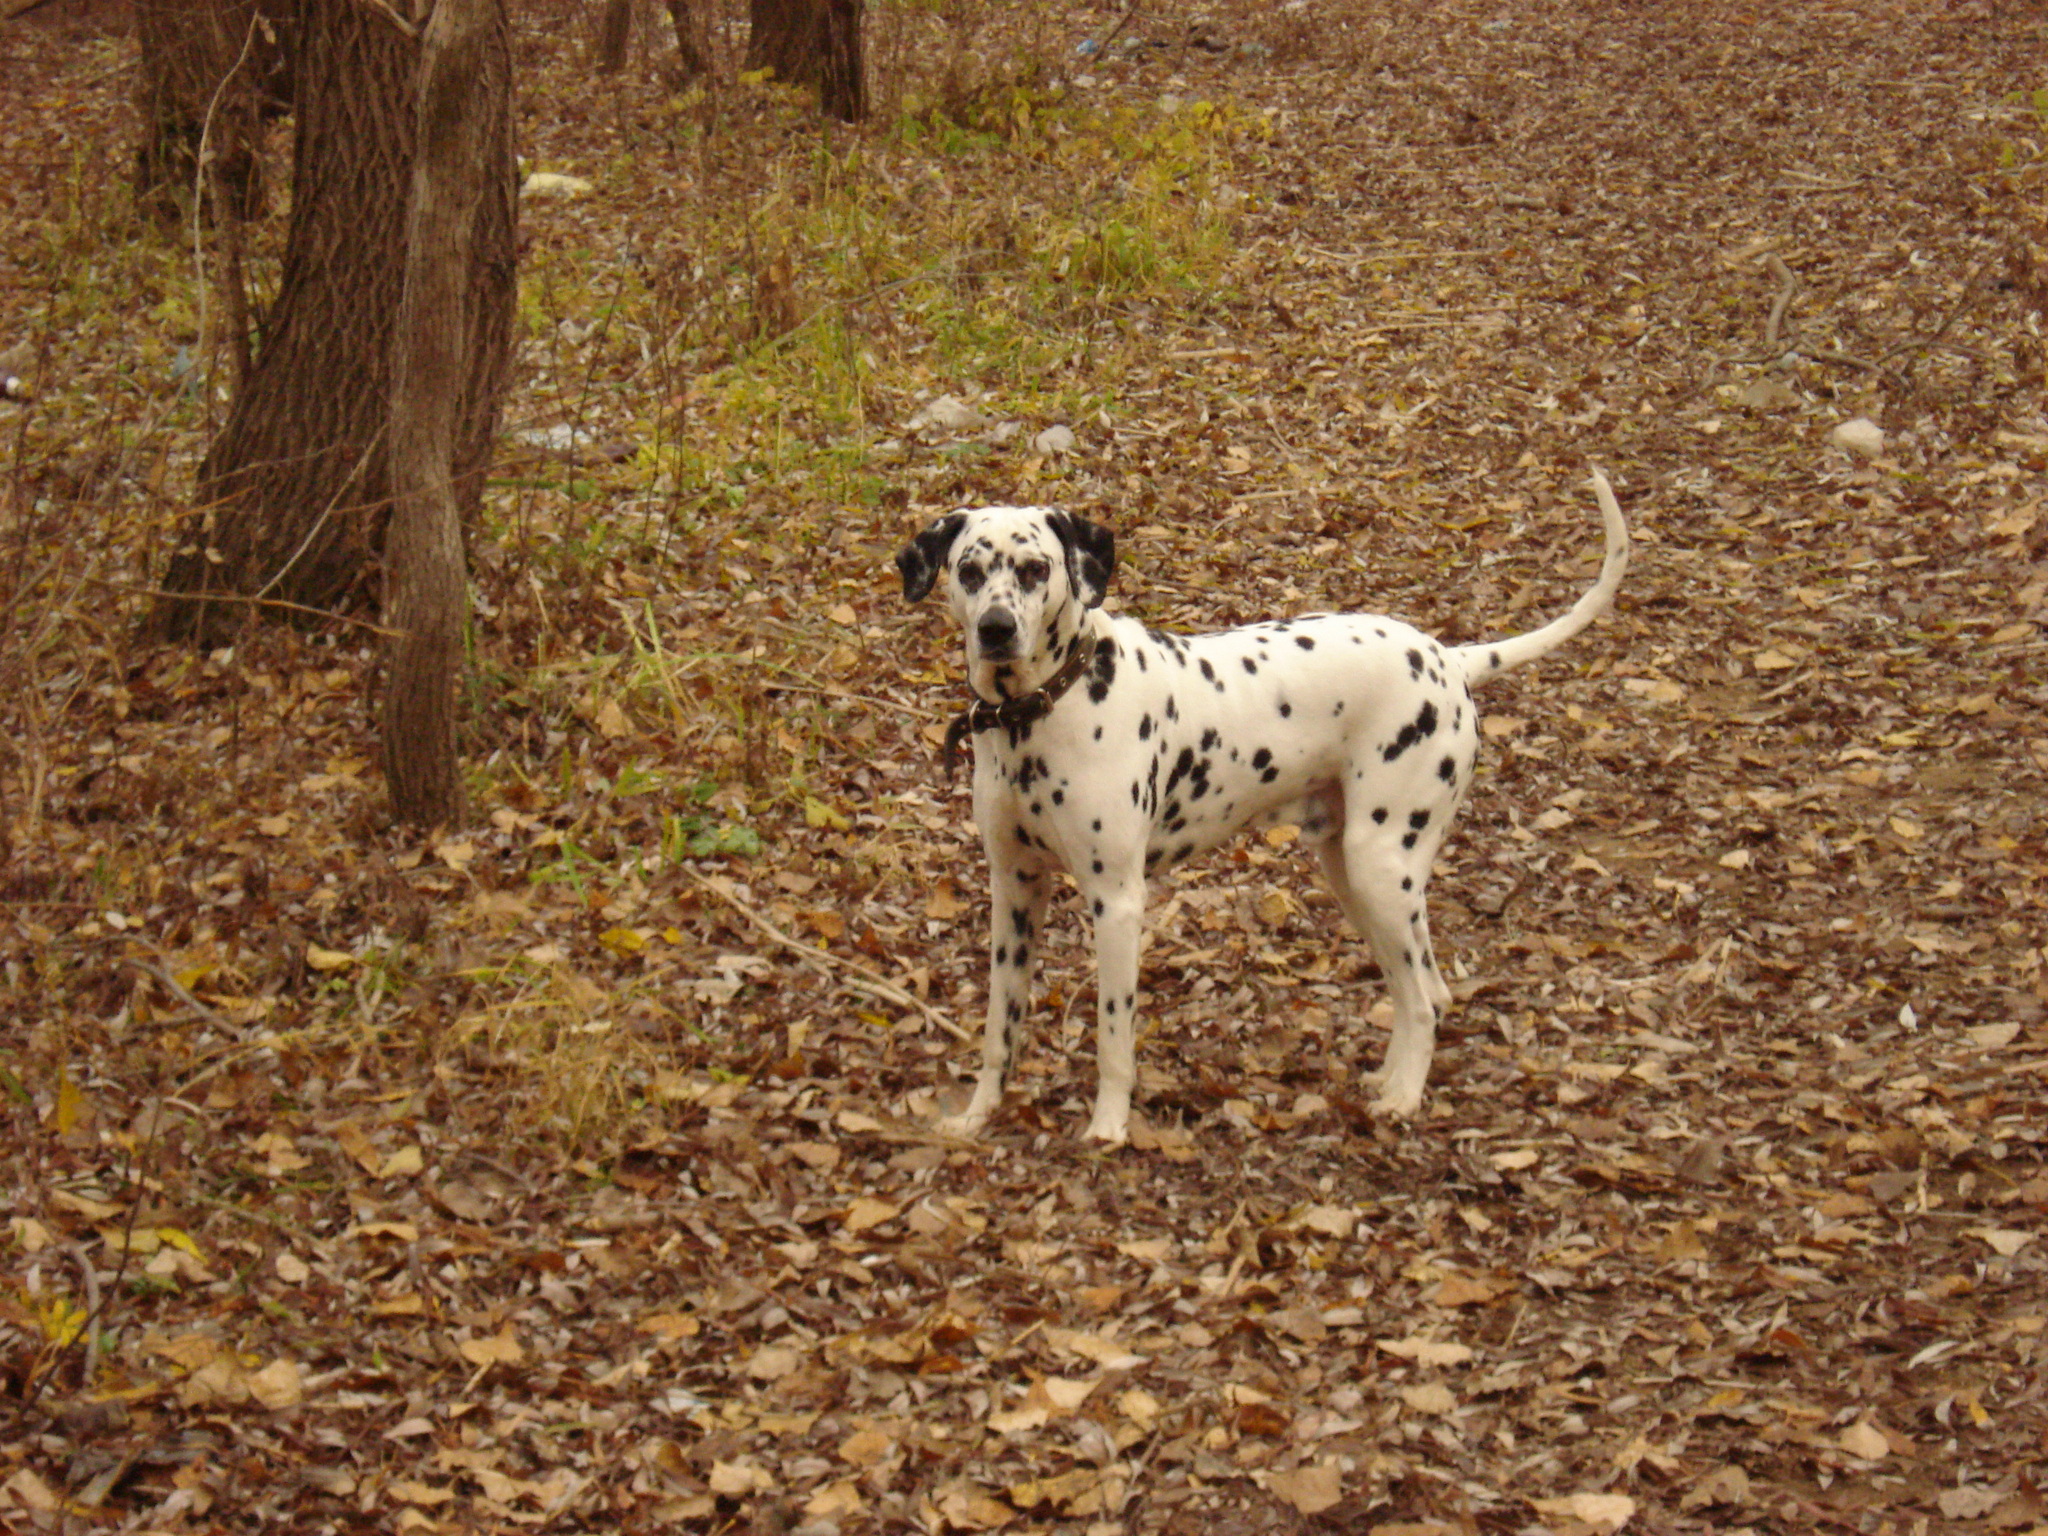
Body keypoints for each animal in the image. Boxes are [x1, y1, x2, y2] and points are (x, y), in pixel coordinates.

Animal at [897, 468, 1630, 1146]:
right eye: (969, 570)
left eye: (1035, 568)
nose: (995, 629)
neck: (1042, 711)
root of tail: (1448, 656)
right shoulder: (1014, 890)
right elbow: (1000, 1025)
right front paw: (977, 1114)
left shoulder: (1117, 902)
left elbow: (1112, 1034)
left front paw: (1108, 1126)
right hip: (1355, 874)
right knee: (1423, 985)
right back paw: (1391, 1079)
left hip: (1378, 868)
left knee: (1424, 1000)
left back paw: (1402, 1099)